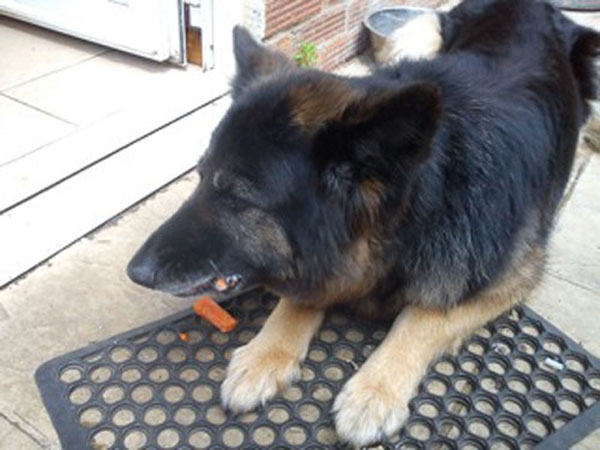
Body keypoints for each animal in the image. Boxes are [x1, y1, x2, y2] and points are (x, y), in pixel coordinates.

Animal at [127, 0, 600, 442]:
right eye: (201, 177)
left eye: (238, 198)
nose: (135, 272)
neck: (422, 202)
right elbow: (301, 295)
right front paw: (265, 355)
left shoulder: (512, 277)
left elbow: (422, 318)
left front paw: (374, 391)